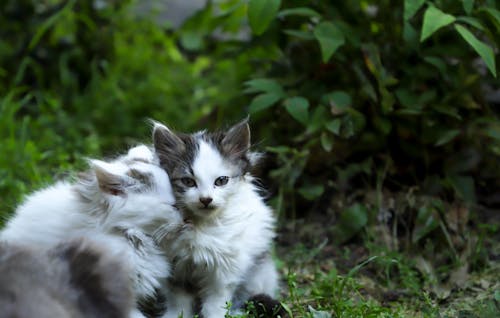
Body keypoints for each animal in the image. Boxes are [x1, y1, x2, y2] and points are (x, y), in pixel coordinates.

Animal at [153, 118, 278, 318]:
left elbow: (216, 301)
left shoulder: (225, 270)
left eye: (221, 181)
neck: (199, 225)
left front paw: (215, 315)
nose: (205, 199)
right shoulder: (174, 268)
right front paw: (175, 315)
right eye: (188, 181)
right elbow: (178, 300)